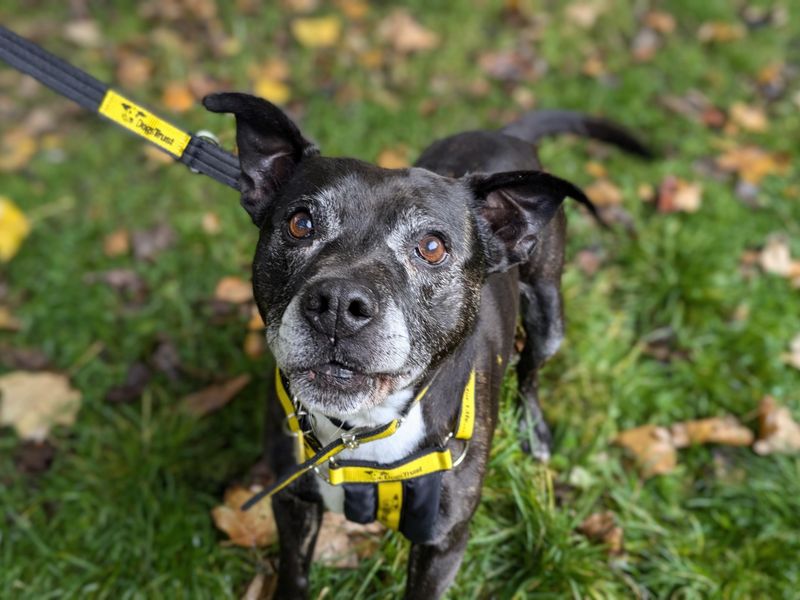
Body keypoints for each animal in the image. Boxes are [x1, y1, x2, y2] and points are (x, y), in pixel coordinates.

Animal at [203, 91, 648, 596]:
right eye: (300, 223)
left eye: (432, 247)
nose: (337, 304)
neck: (363, 431)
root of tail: (504, 134)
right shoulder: (293, 504)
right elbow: (294, 576)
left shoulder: (443, 542)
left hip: (549, 317)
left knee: (530, 372)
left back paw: (535, 432)